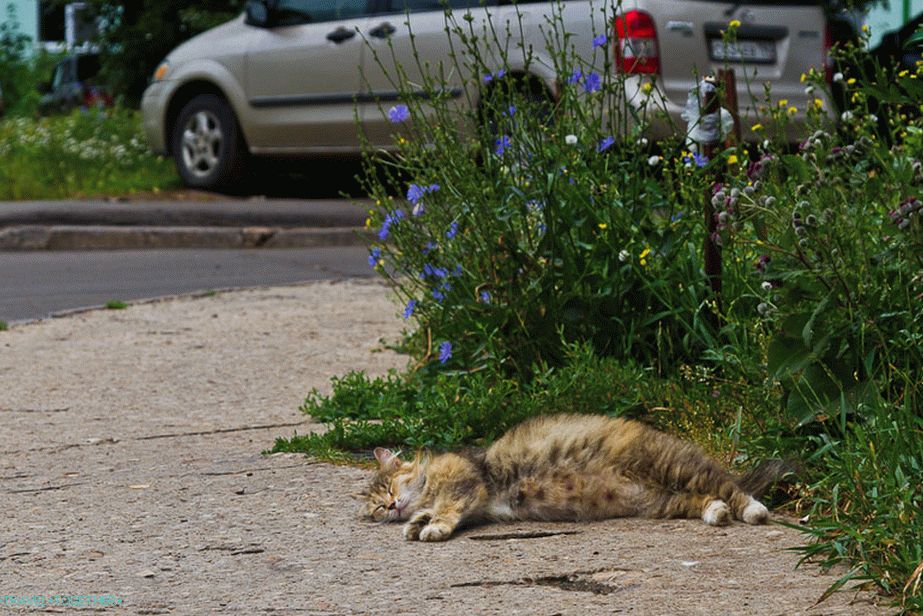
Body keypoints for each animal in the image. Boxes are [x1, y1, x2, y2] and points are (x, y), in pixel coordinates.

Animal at [360, 414, 788, 540]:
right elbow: (431, 512)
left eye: (389, 488)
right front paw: (415, 522)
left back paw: (752, 511)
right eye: (378, 508)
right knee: (706, 499)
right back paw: (716, 513)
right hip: (666, 501)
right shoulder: (475, 504)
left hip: (678, 468)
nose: (392, 505)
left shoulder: (464, 485)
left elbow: (445, 510)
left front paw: (429, 525)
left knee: (732, 488)